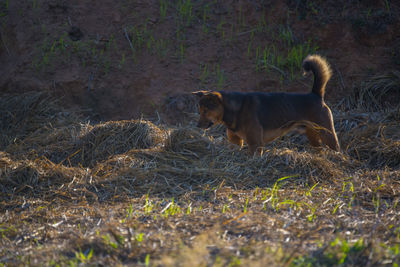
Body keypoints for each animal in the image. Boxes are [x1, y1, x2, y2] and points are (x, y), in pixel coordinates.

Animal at [193, 54, 340, 155]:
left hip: (328, 134)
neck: (235, 110)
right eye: (199, 111)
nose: (197, 126)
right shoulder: (236, 142)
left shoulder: (255, 145)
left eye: (206, 111)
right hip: (313, 136)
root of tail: (315, 94)